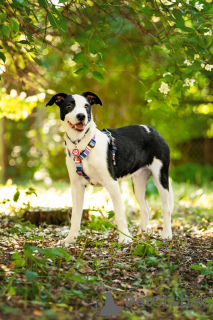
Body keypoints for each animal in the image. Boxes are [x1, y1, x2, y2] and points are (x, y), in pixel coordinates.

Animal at [46, 91, 173, 244]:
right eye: (69, 106)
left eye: (87, 106)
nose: (81, 116)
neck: (81, 143)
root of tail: (153, 131)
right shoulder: (76, 187)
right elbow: (75, 216)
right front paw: (70, 239)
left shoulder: (112, 183)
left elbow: (120, 215)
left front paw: (124, 238)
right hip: (138, 182)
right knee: (145, 208)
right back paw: (141, 233)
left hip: (160, 177)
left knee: (166, 208)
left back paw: (166, 234)